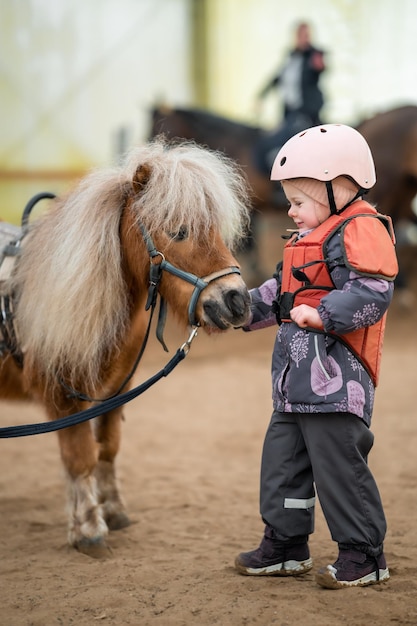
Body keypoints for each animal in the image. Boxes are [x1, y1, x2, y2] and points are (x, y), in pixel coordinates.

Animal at [0, 138, 250, 556]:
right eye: (178, 231)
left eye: (214, 229)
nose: (236, 301)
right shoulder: (60, 395)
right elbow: (80, 457)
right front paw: (87, 528)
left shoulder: (116, 390)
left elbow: (107, 448)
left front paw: (113, 510)